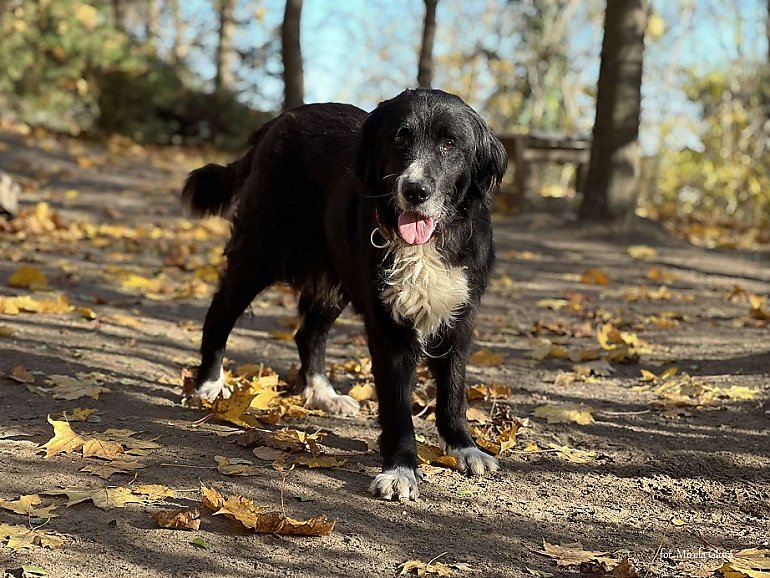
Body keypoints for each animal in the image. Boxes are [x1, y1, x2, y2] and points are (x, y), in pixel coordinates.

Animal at [183, 88, 508, 498]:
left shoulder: (459, 318)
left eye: (450, 143)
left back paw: (323, 394)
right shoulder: (387, 327)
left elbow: (453, 390)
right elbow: (397, 405)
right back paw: (209, 383)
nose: (415, 191)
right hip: (259, 251)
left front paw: (464, 447)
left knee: (308, 334)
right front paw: (400, 469)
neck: (428, 242)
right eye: (400, 137)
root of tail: (278, 120)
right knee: (220, 313)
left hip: (330, 280)